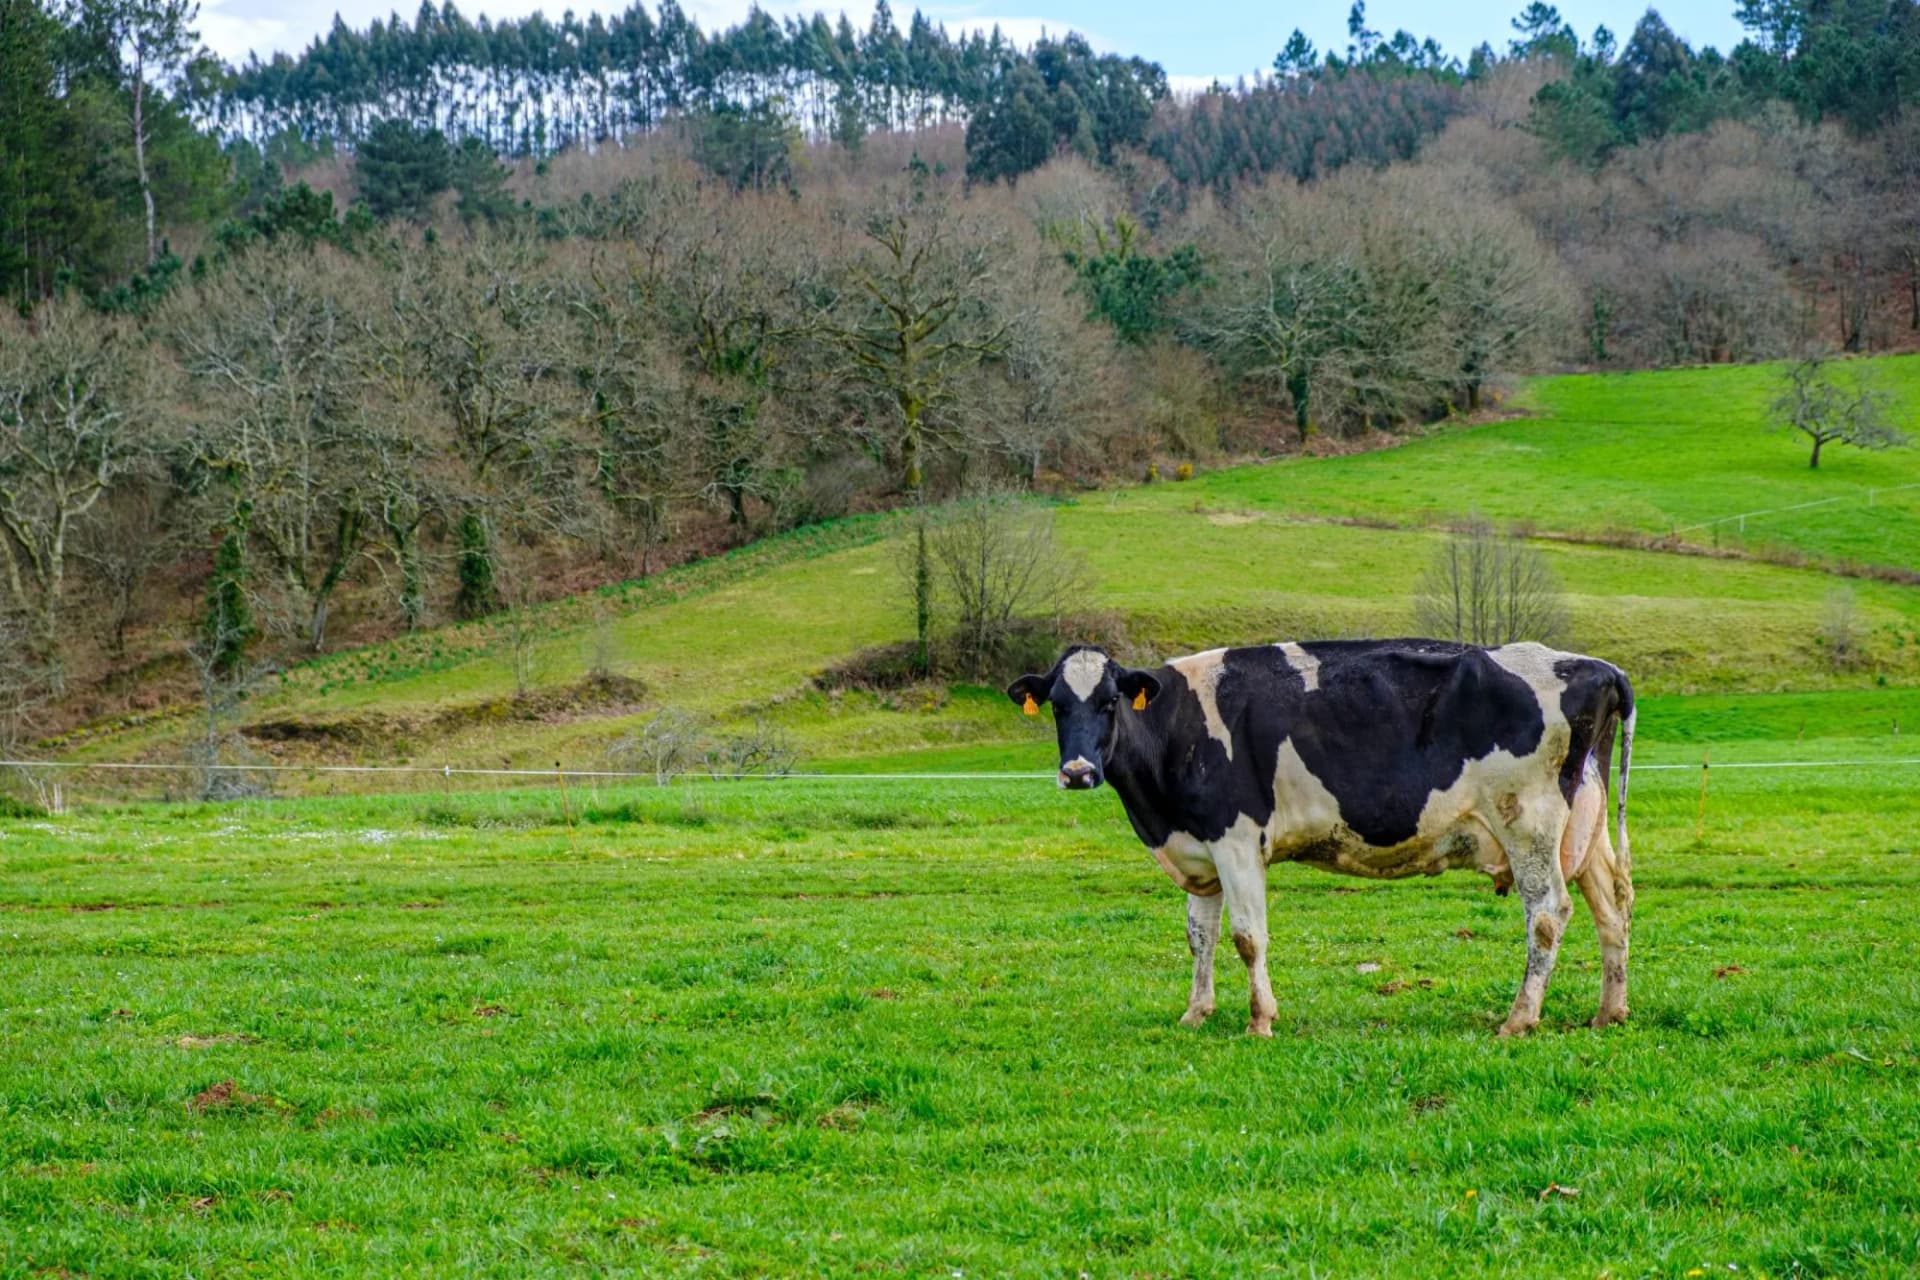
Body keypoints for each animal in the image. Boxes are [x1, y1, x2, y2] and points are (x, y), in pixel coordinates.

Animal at [1006, 640, 1635, 1038]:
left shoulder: (1237, 841)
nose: (1078, 772)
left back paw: (1519, 1018)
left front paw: (1261, 1019)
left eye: (1110, 700)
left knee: (1548, 913)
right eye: (1057, 706)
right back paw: (1610, 1011)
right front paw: (1196, 1013)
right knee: (1613, 907)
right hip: (1587, 828)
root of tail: (1591, 664)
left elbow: (1247, 937)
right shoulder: (1201, 847)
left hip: (1528, 823)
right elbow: (1199, 937)